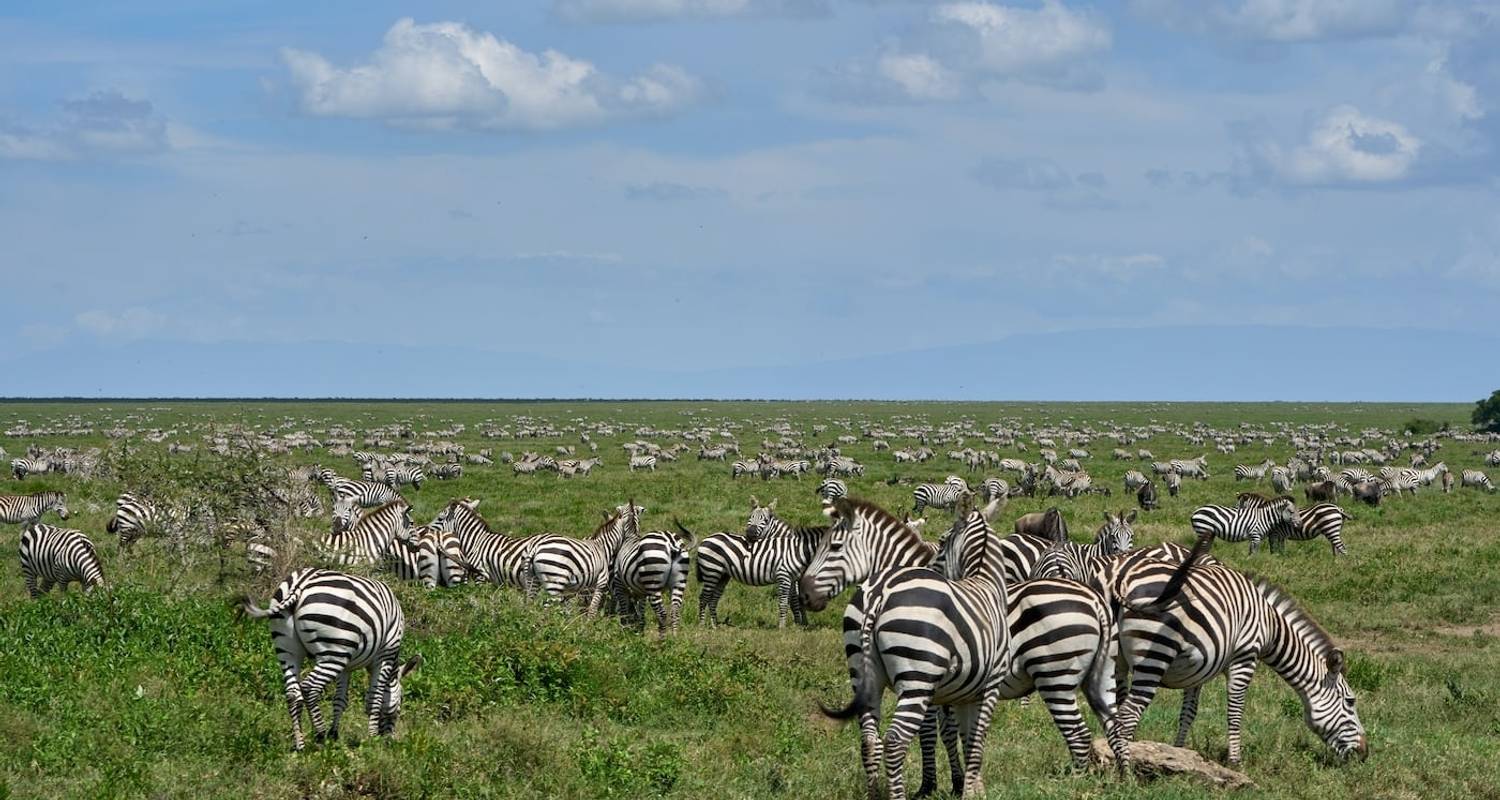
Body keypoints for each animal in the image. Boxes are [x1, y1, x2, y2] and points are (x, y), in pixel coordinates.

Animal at [240, 567, 420, 747]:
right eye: (401, 700)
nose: (390, 739)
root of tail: (301, 582)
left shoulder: (346, 667)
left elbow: (340, 700)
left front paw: (334, 734)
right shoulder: (385, 655)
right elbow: (375, 698)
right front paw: (372, 738)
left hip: (289, 648)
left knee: (293, 692)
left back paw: (300, 744)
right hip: (334, 653)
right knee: (309, 688)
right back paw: (320, 734)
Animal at [696, 495, 828, 627]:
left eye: (765, 520)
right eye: (751, 517)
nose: (750, 533)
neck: (795, 548)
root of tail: (706, 539)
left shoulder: (792, 578)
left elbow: (794, 600)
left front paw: (800, 623)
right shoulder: (786, 576)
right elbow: (791, 600)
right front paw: (794, 624)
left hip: (722, 575)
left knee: (713, 598)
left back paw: (714, 625)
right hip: (712, 571)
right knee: (704, 597)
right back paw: (702, 625)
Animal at [816, 498, 1014, 798]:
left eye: (833, 547)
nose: (804, 593)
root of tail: (878, 594)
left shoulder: (958, 691)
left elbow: (958, 734)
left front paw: (964, 783)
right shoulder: (979, 684)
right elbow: (953, 734)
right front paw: (947, 785)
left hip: (872, 677)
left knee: (871, 739)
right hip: (917, 679)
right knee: (893, 740)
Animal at [1104, 534, 1374, 765]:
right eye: (1350, 701)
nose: (1365, 752)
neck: (1271, 626)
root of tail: (1124, 578)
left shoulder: (1199, 666)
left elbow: (1188, 712)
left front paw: (1178, 753)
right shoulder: (1244, 657)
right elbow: (1235, 710)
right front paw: (1235, 761)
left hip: (1116, 661)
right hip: (1154, 654)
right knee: (1126, 716)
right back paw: (1126, 771)